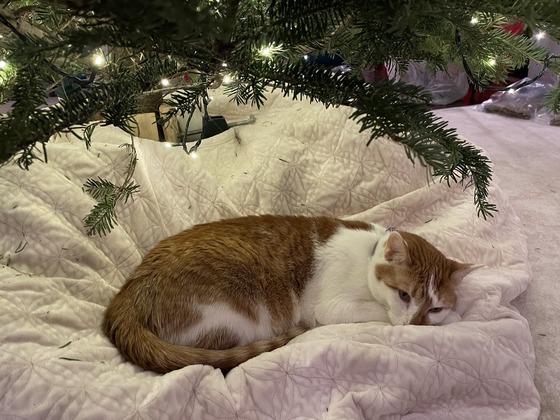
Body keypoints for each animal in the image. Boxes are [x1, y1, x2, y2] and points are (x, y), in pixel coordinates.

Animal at [103, 215, 474, 372]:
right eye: (404, 295)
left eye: (435, 307)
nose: (415, 325)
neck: (369, 252)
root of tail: (130, 291)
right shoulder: (329, 307)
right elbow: (380, 313)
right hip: (240, 314)